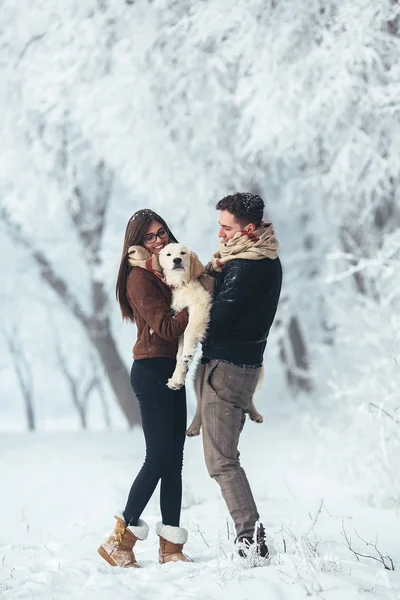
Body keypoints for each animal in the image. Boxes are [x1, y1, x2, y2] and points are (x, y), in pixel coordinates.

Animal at [159, 241, 212, 392]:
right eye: (169, 254)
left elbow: (189, 330)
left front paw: (188, 353)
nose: (177, 260)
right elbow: (178, 354)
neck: (182, 283)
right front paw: (177, 378)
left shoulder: (200, 303)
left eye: (183, 253)